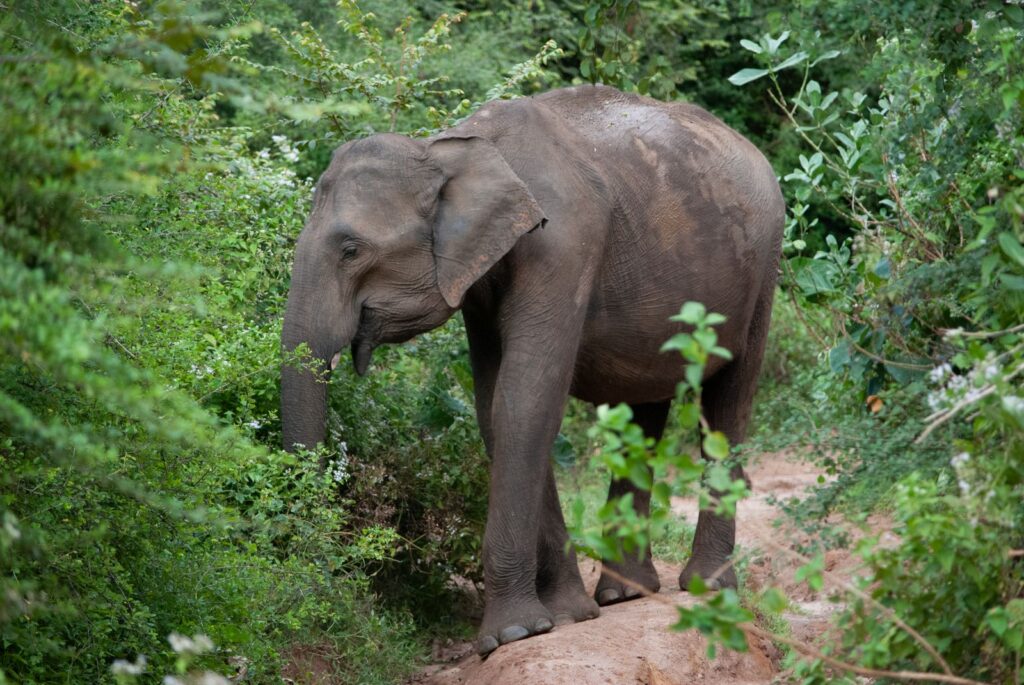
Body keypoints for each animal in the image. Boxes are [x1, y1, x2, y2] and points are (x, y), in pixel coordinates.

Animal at [280, 84, 784, 655]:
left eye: (351, 250)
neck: (449, 148)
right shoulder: (479, 282)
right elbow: (495, 408)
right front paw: (566, 615)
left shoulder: (563, 248)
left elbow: (524, 401)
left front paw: (511, 634)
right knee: (644, 414)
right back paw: (623, 594)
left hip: (763, 269)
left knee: (728, 406)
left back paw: (707, 587)